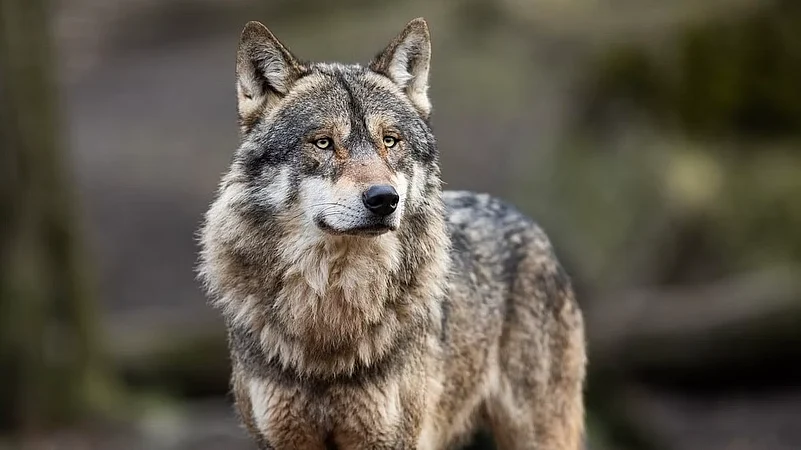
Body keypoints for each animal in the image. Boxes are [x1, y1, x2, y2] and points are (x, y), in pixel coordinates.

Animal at [197, 17, 586, 450]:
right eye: (323, 143)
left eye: (390, 141)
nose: (384, 199)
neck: (330, 316)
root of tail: (522, 217)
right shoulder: (280, 439)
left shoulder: (390, 437)